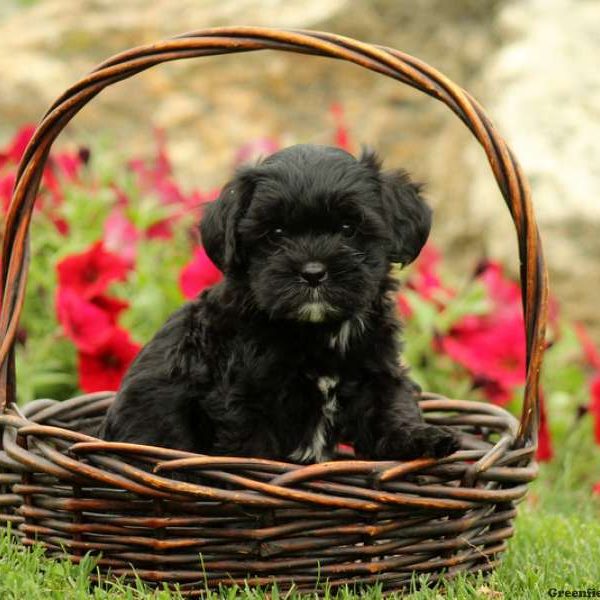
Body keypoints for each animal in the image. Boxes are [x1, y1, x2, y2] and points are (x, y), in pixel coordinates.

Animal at [101, 143, 462, 462]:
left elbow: (391, 410)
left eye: (348, 229)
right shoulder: (244, 399)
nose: (313, 272)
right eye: (275, 234)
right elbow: (254, 450)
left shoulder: (376, 373)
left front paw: (424, 438)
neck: (317, 332)